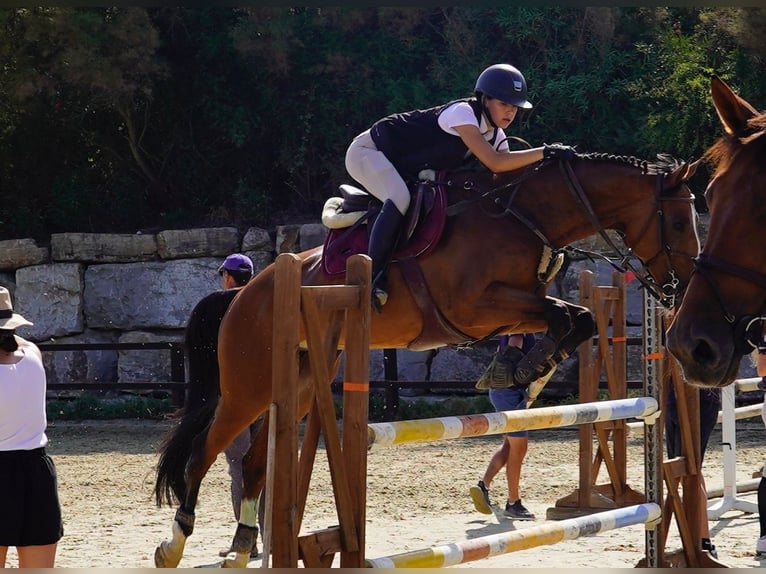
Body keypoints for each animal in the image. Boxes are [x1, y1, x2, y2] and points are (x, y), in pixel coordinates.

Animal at [153, 151, 701, 567]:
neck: (523, 216)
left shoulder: (510, 310)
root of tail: (246, 292)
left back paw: (244, 546)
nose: (681, 288)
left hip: (300, 385)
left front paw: (528, 369)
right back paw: (176, 541)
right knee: (204, 452)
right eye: (677, 220)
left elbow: (577, 318)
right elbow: (565, 316)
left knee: (253, 463)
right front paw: (526, 368)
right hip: (248, 387)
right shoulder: (476, 307)